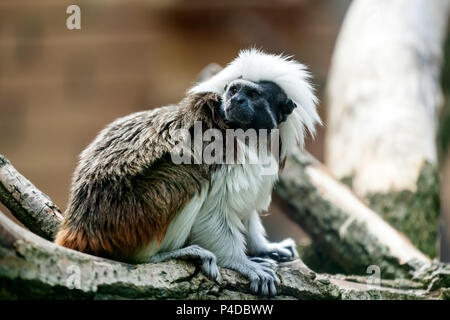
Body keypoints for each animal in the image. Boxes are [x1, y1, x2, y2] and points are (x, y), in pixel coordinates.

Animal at [55, 48, 320, 296]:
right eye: (234, 91)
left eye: (253, 95)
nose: (237, 101)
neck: (248, 136)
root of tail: (78, 226)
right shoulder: (222, 153)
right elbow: (213, 215)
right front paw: (242, 263)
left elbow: (247, 208)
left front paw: (264, 247)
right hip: (128, 218)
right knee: (186, 174)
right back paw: (169, 254)